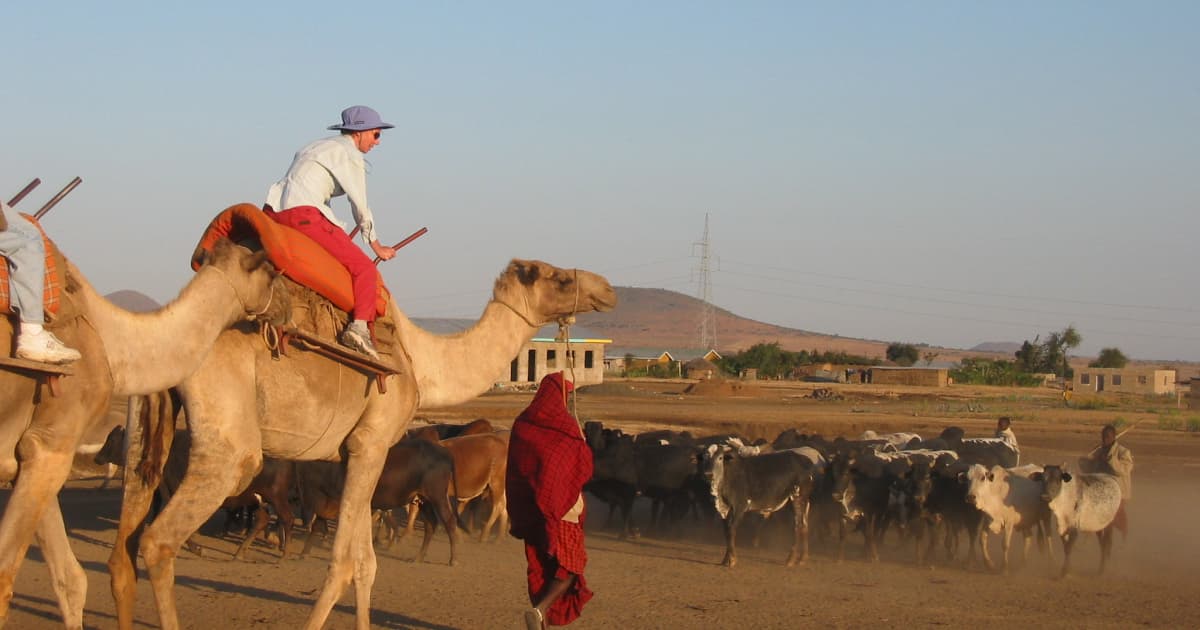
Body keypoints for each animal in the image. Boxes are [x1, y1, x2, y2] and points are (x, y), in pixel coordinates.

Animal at [0, 237, 285, 628]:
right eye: (270, 273)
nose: (286, 314)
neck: (112, 341)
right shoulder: (50, 444)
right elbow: (6, 579)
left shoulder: (33, 455)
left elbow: (70, 579)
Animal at [110, 256, 619, 628]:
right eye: (557, 276)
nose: (607, 288)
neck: (419, 361)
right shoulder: (370, 443)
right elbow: (342, 563)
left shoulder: (354, 453)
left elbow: (365, 561)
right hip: (230, 443)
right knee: (158, 541)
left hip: (144, 419)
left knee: (123, 552)